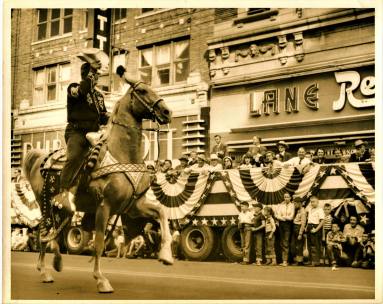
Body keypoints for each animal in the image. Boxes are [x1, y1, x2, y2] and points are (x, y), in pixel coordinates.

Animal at [23, 68, 173, 292]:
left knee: (56, 232)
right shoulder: (105, 206)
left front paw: (166, 255)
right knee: (44, 231)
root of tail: (41, 158)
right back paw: (45, 271)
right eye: (142, 91)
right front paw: (101, 280)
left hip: (63, 210)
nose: (166, 112)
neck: (123, 153)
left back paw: (57, 262)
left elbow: (161, 212)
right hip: (46, 205)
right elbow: (99, 243)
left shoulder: (133, 206)